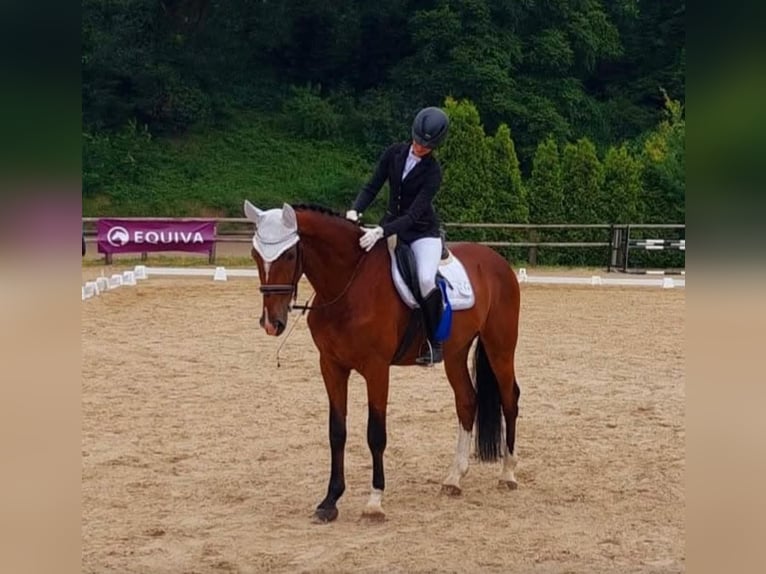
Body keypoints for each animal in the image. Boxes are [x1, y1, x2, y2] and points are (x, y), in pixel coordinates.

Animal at [244, 201, 521, 522]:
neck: (347, 284)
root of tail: (497, 260)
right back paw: (454, 479)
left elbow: (375, 433)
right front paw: (330, 501)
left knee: (509, 399)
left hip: (500, 347)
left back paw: (508, 474)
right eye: (255, 255)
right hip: (455, 352)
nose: (271, 323)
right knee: (467, 401)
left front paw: (374, 502)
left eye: (289, 254)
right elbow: (336, 431)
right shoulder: (331, 366)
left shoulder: (376, 370)